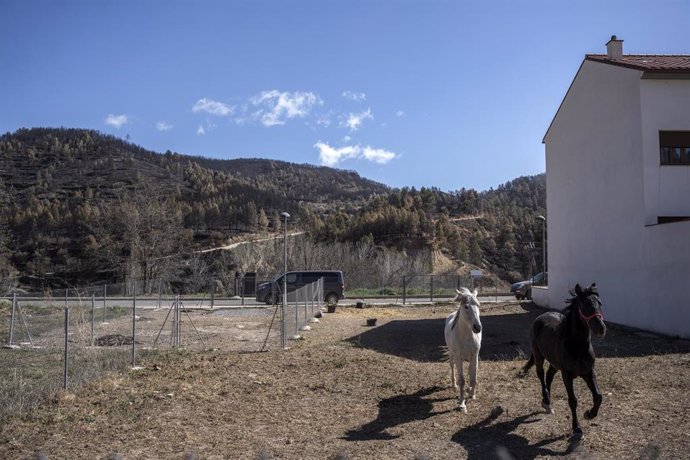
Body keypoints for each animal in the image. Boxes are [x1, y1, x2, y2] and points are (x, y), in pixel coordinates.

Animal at [520, 282, 600, 436]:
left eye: (599, 303)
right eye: (584, 304)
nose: (601, 328)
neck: (577, 346)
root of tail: (541, 317)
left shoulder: (588, 372)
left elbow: (598, 396)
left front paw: (589, 414)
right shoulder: (567, 375)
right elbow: (572, 400)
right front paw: (576, 428)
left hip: (555, 363)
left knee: (549, 376)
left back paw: (547, 402)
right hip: (539, 356)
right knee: (541, 375)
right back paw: (546, 401)